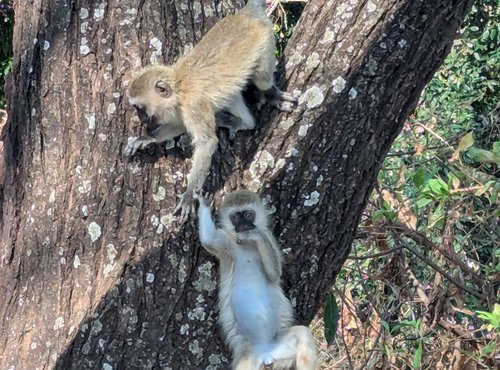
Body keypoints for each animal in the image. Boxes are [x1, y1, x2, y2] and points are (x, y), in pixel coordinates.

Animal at [126, 0, 296, 223]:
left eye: (140, 108)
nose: (142, 120)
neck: (179, 90)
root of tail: (246, 14)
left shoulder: (194, 105)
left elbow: (207, 142)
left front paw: (190, 194)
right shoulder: (181, 110)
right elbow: (178, 125)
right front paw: (147, 138)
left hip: (265, 40)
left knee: (261, 78)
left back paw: (269, 94)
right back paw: (239, 121)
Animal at [194, 191, 316, 370]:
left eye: (248, 215)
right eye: (236, 217)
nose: (245, 225)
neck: (246, 244)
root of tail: (264, 352)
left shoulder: (269, 237)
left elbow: (274, 274)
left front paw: (254, 235)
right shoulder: (226, 243)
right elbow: (209, 240)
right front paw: (203, 202)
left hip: (280, 347)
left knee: (302, 334)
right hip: (247, 357)